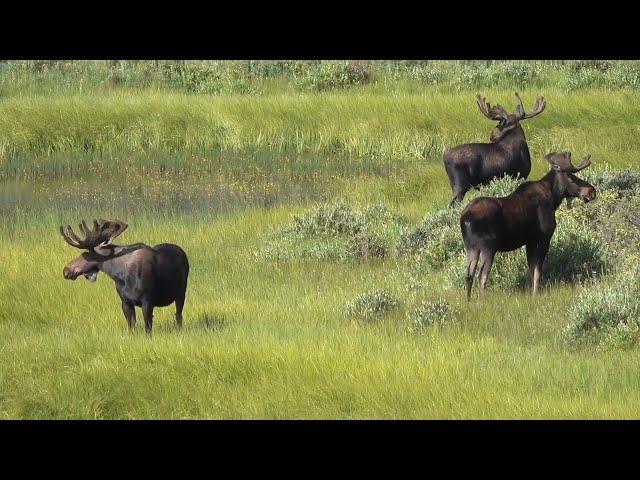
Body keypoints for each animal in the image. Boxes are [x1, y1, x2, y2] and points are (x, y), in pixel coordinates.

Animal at [59, 218, 190, 334]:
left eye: (84, 254)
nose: (66, 270)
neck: (119, 276)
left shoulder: (147, 301)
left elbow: (148, 329)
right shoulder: (125, 302)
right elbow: (131, 328)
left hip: (181, 293)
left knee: (178, 316)